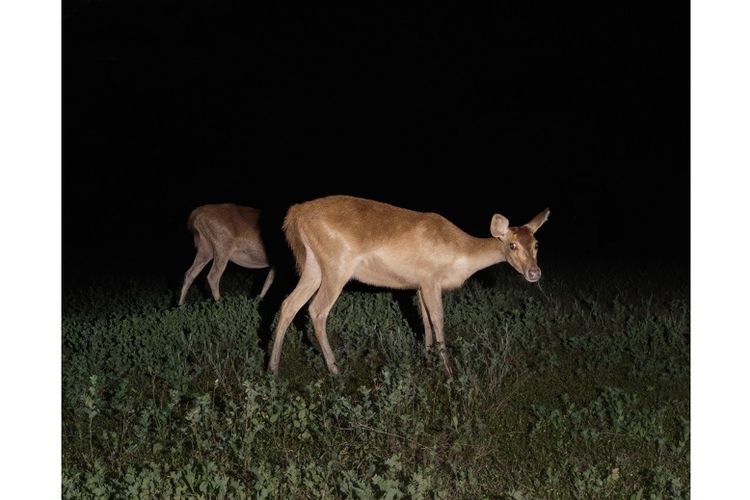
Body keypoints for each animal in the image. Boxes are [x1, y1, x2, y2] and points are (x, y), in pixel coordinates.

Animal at [270, 195, 552, 376]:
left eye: (536, 244)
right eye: (512, 245)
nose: (534, 273)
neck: (458, 252)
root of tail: (296, 214)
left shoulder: (418, 284)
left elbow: (424, 320)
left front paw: (427, 359)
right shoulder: (430, 278)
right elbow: (438, 319)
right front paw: (448, 372)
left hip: (313, 266)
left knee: (288, 304)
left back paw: (272, 368)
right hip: (336, 264)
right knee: (317, 310)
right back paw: (335, 369)